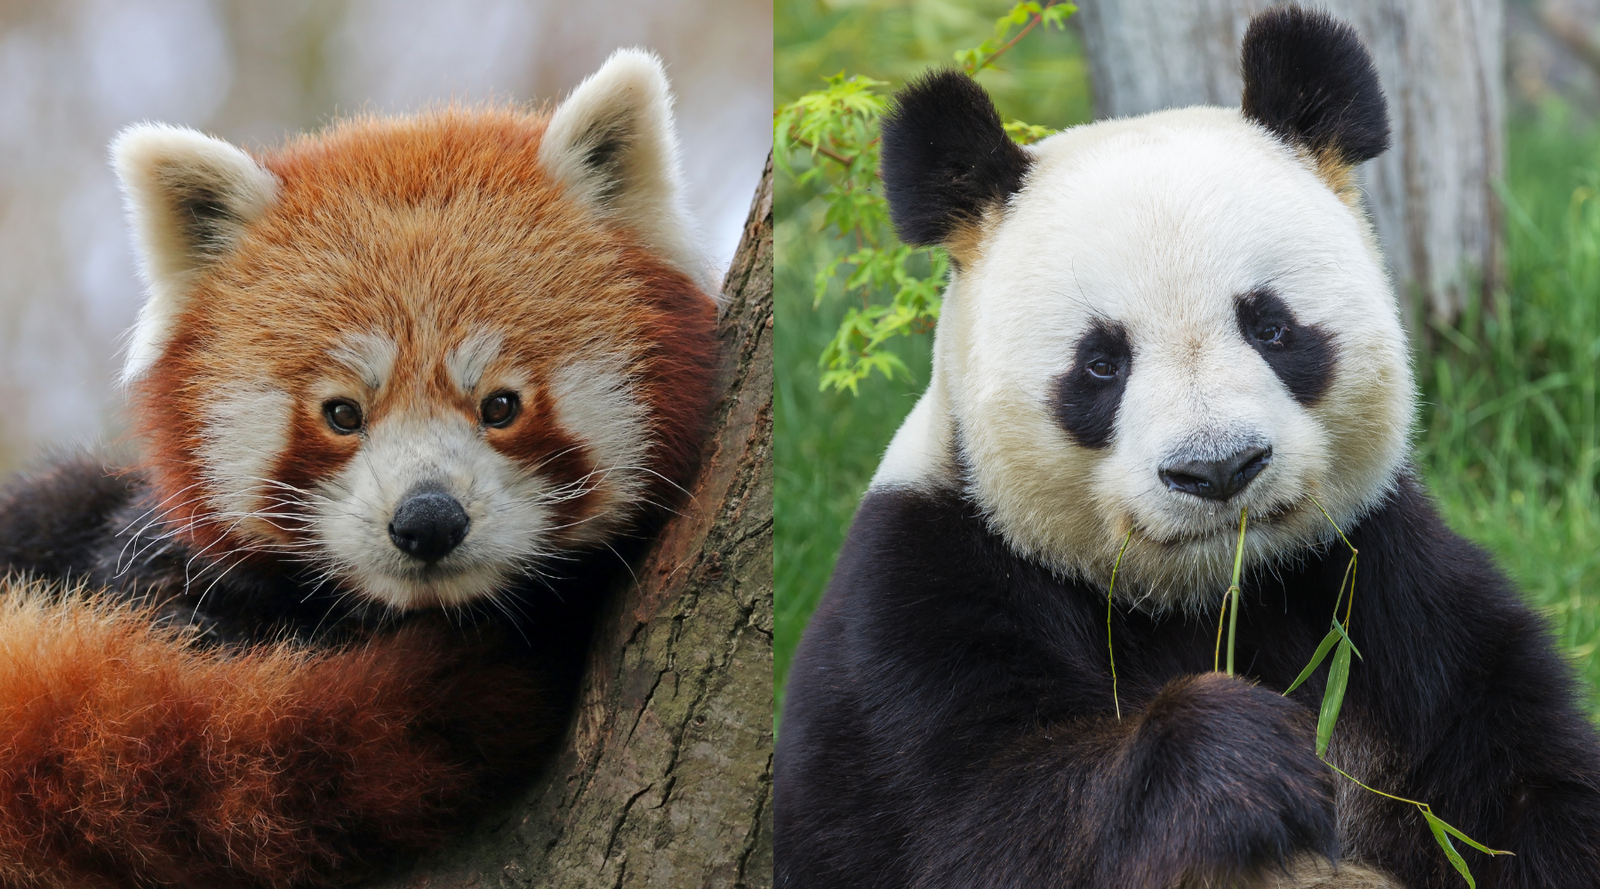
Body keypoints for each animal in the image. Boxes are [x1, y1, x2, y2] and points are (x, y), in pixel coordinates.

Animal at [775, 7, 1600, 888]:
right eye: (1101, 363)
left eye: (1272, 326)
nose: (1217, 468)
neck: (1206, 595)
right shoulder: (925, 602)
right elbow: (971, 824)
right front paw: (1242, 754)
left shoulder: (1385, 588)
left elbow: (1519, 782)